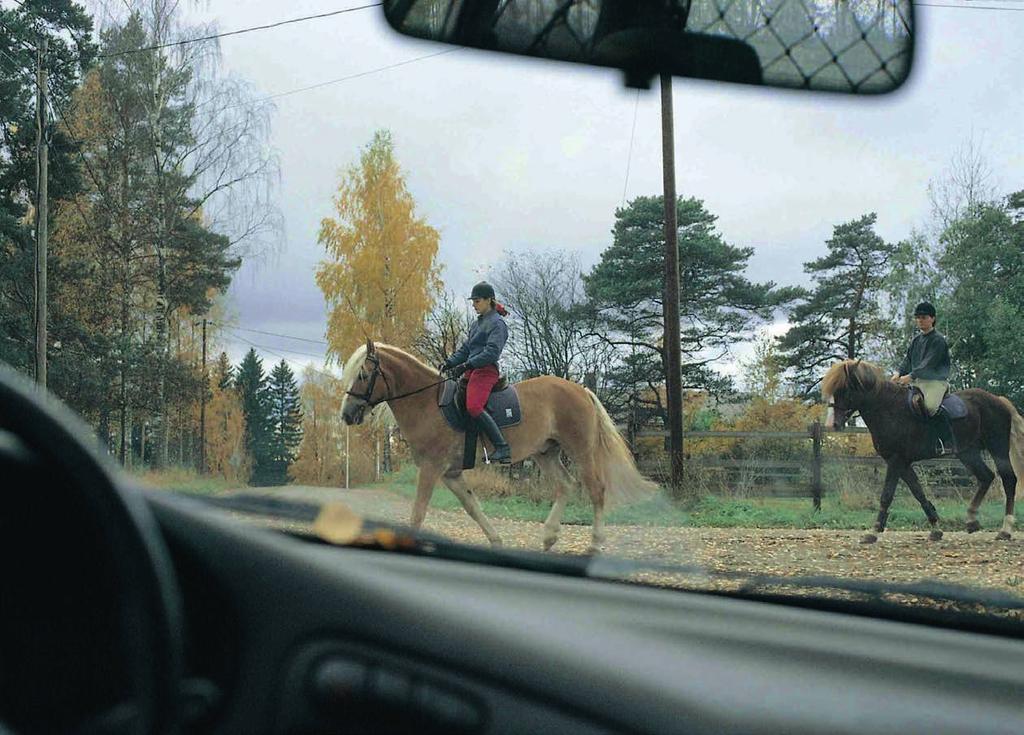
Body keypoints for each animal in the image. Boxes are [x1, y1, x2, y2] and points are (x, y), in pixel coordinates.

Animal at [337, 341, 655, 552]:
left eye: (363, 375)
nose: (347, 414)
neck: (428, 403)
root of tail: (581, 389)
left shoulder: (431, 468)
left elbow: (418, 512)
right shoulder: (450, 473)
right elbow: (472, 507)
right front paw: (496, 541)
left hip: (581, 450)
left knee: (595, 490)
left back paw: (595, 545)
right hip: (545, 452)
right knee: (565, 485)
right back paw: (549, 538)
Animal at [823, 360, 1024, 544]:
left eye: (844, 390)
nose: (832, 424)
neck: (888, 409)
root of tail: (998, 400)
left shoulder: (896, 460)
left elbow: (887, 495)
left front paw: (873, 531)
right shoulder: (901, 462)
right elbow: (918, 492)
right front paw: (935, 529)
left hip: (997, 447)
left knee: (1008, 480)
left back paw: (1005, 530)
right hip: (968, 452)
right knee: (986, 477)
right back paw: (971, 520)